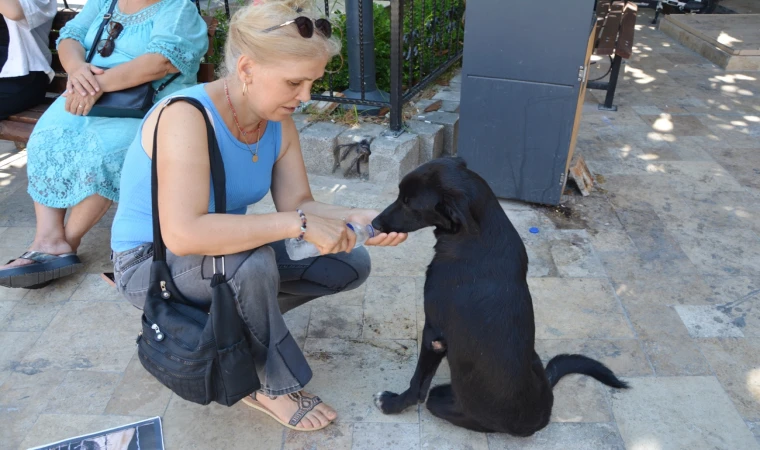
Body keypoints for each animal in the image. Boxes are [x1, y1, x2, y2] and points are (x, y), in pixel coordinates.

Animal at [372, 158, 628, 436]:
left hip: (442, 400)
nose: (374, 223)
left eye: (409, 203)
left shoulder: (434, 334)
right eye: (400, 195)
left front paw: (393, 403)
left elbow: (418, 383)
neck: (477, 236)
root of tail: (539, 417)